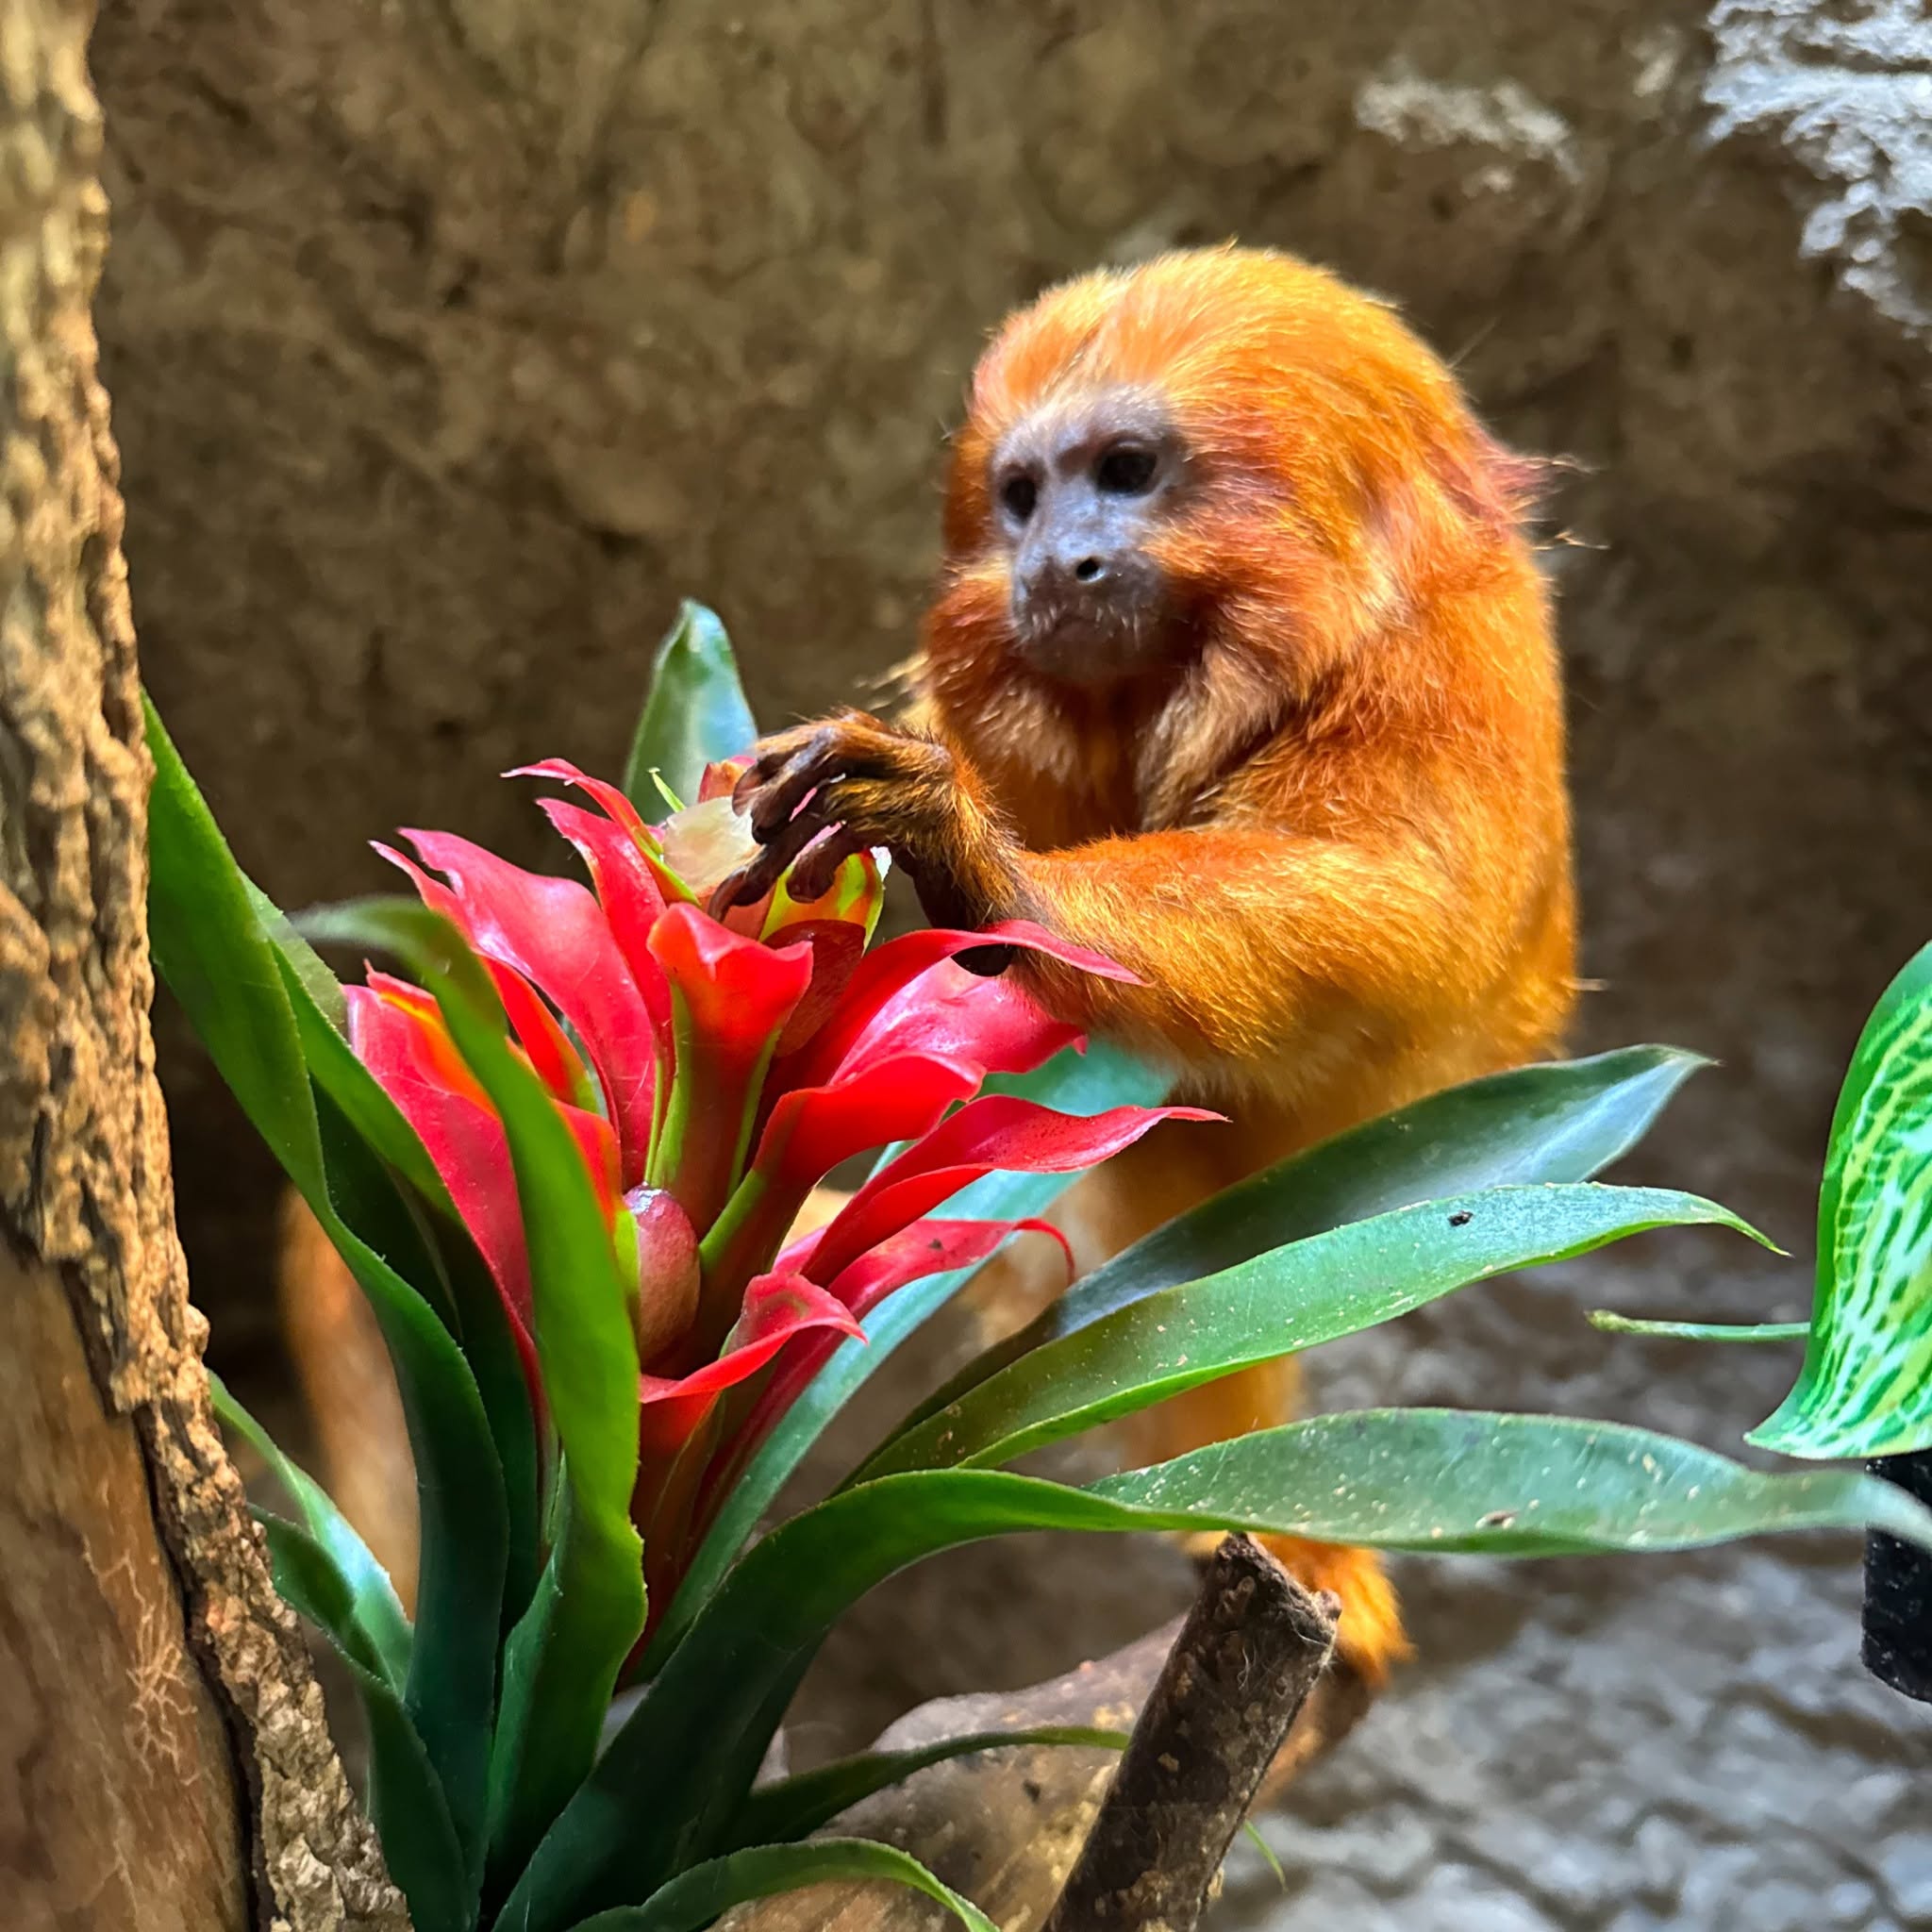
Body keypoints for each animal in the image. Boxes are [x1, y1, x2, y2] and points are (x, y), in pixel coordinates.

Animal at [721, 244, 1578, 1687]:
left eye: (1124, 470)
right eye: (1020, 495)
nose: (1055, 561)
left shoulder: (1441, 672)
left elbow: (1385, 902)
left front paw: (984, 866)